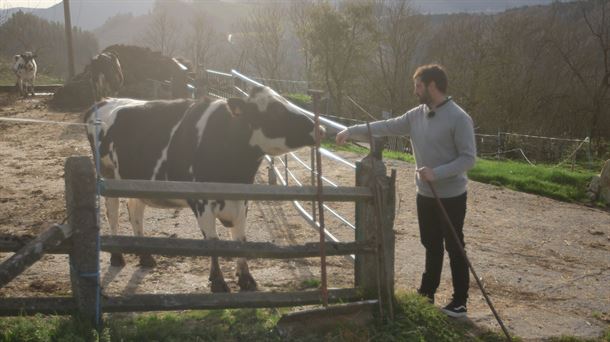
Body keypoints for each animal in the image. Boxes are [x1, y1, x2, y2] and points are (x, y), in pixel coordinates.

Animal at [85, 87, 324, 292]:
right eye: (275, 109)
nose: (319, 128)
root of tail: (103, 101)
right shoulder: (201, 201)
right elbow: (212, 242)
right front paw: (218, 282)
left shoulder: (242, 200)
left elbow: (240, 238)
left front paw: (246, 279)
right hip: (107, 177)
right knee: (112, 213)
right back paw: (117, 256)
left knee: (135, 210)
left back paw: (146, 257)